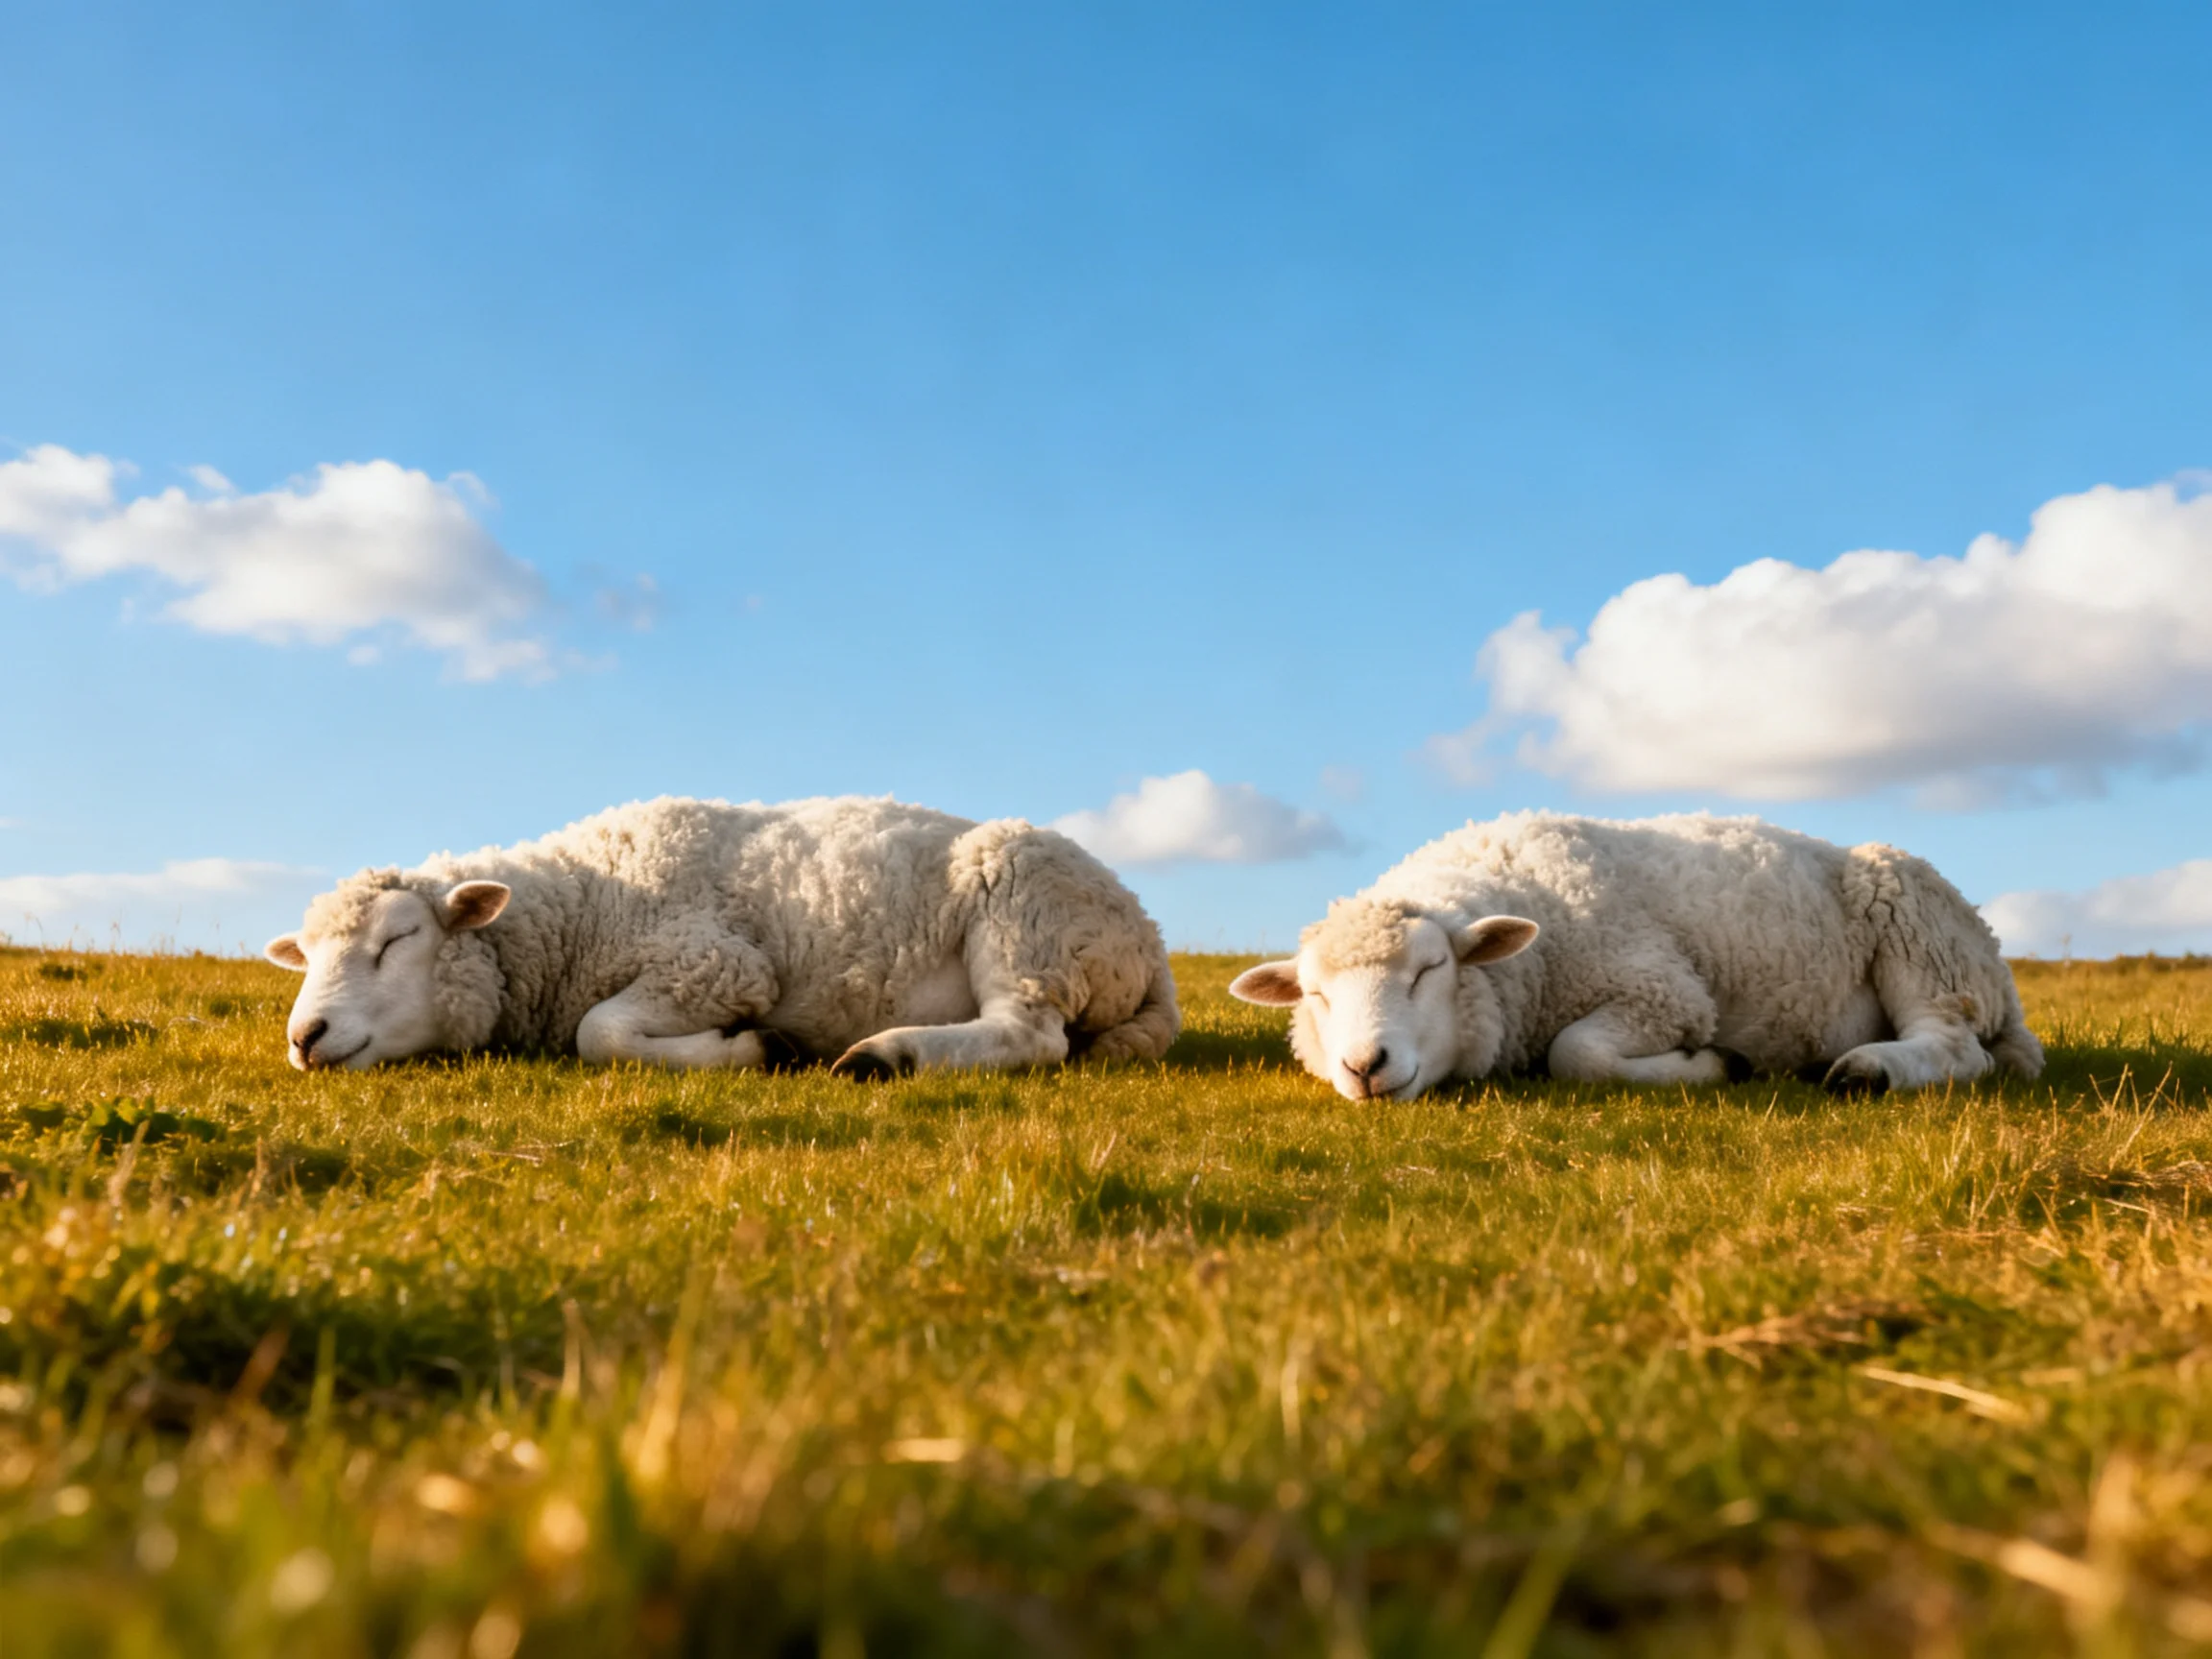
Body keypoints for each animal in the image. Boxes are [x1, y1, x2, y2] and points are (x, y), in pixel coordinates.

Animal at [265, 795, 1179, 1077]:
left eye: (396, 941)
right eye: (306, 960)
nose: (306, 1036)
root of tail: (1146, 930)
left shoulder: (717, 964)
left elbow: (598, 1032)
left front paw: (757, 1047)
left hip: (1025, 918)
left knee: (1029, 1035)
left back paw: (884, 1056)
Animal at [1229, 812, 2042, 1099]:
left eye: (1430, 970)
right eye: (1315, 995)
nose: (1366, 1066)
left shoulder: (1662, 989)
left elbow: (1576, 1053)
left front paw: (1719, 1064)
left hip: (1915, 928)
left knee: (1955, 1046)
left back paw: (1870, 1071)